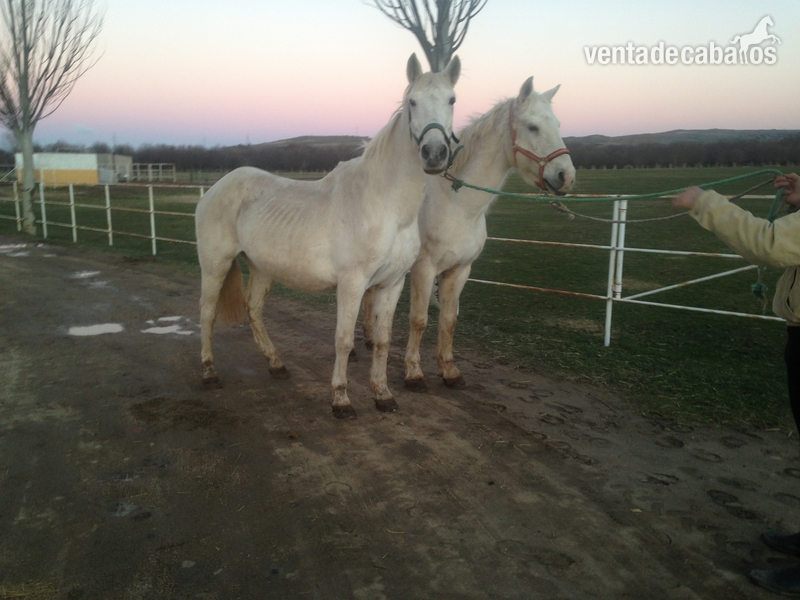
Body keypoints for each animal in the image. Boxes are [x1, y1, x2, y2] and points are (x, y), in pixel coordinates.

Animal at [194, 53, 461, 419]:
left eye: (452, 100)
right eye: (412, 102)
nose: (434, 154)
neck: (386, 204)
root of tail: (215, 189)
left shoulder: (391, 284)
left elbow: (382, 340)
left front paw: (383, 395)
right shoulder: (352, 284)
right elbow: (344, 341)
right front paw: (341, 400)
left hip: (261, 268)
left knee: (254, 310)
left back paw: (276, 365)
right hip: (215, 265)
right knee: (207, 313)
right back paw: (209, 372)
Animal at [363, 76, 574, 392]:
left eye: (558, 124)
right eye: (533, 127)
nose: (566, 176)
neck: (457, 206)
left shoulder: (460, 269)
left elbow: (449, 320)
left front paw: (449, 370)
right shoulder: (424, 269)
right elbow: (419, 320)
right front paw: (414, 373)